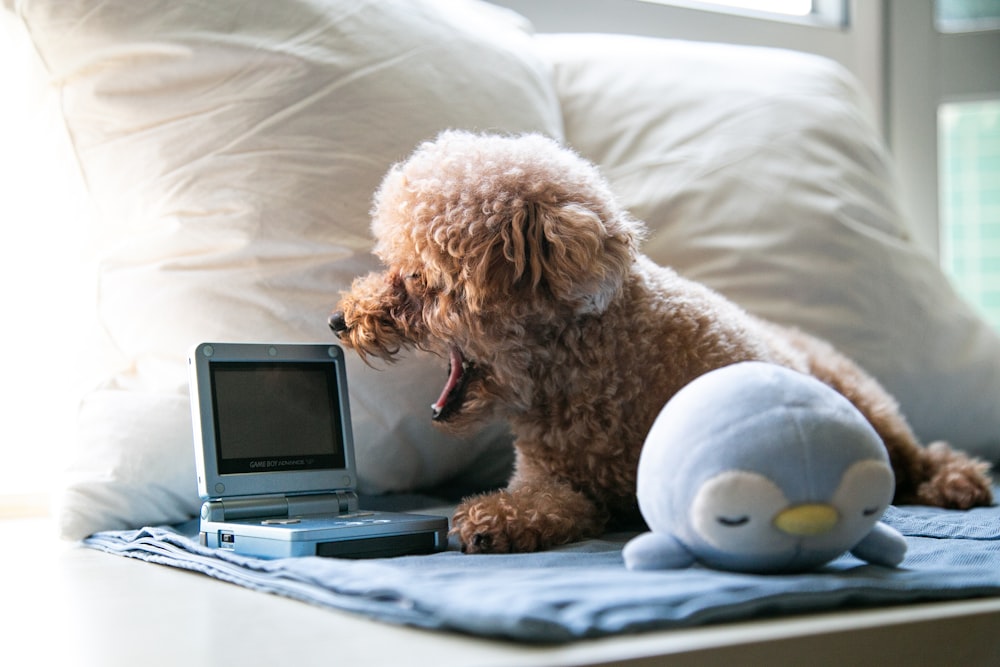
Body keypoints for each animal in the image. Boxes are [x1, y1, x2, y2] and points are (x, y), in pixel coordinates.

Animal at [330, 129, 992, 552]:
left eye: (422, 278)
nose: (340, 321)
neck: (588, 363)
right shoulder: (553, 481)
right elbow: (545, 503)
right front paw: (497, 519)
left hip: (869, 405)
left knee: (915, 455)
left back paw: (957, 482)